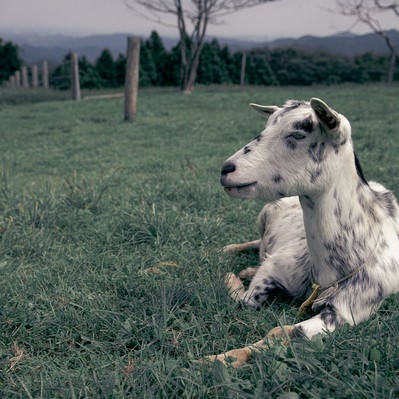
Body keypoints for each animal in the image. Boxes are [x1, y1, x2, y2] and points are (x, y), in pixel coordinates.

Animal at [205, 97, 399, 368]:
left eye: (297, 134)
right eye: (266, 126)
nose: (226, 169)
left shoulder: (347, 311)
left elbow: (283, 331)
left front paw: (219, 359)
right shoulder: (275, 267)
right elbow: (245, 301)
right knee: (256, 242)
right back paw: (229, 252)